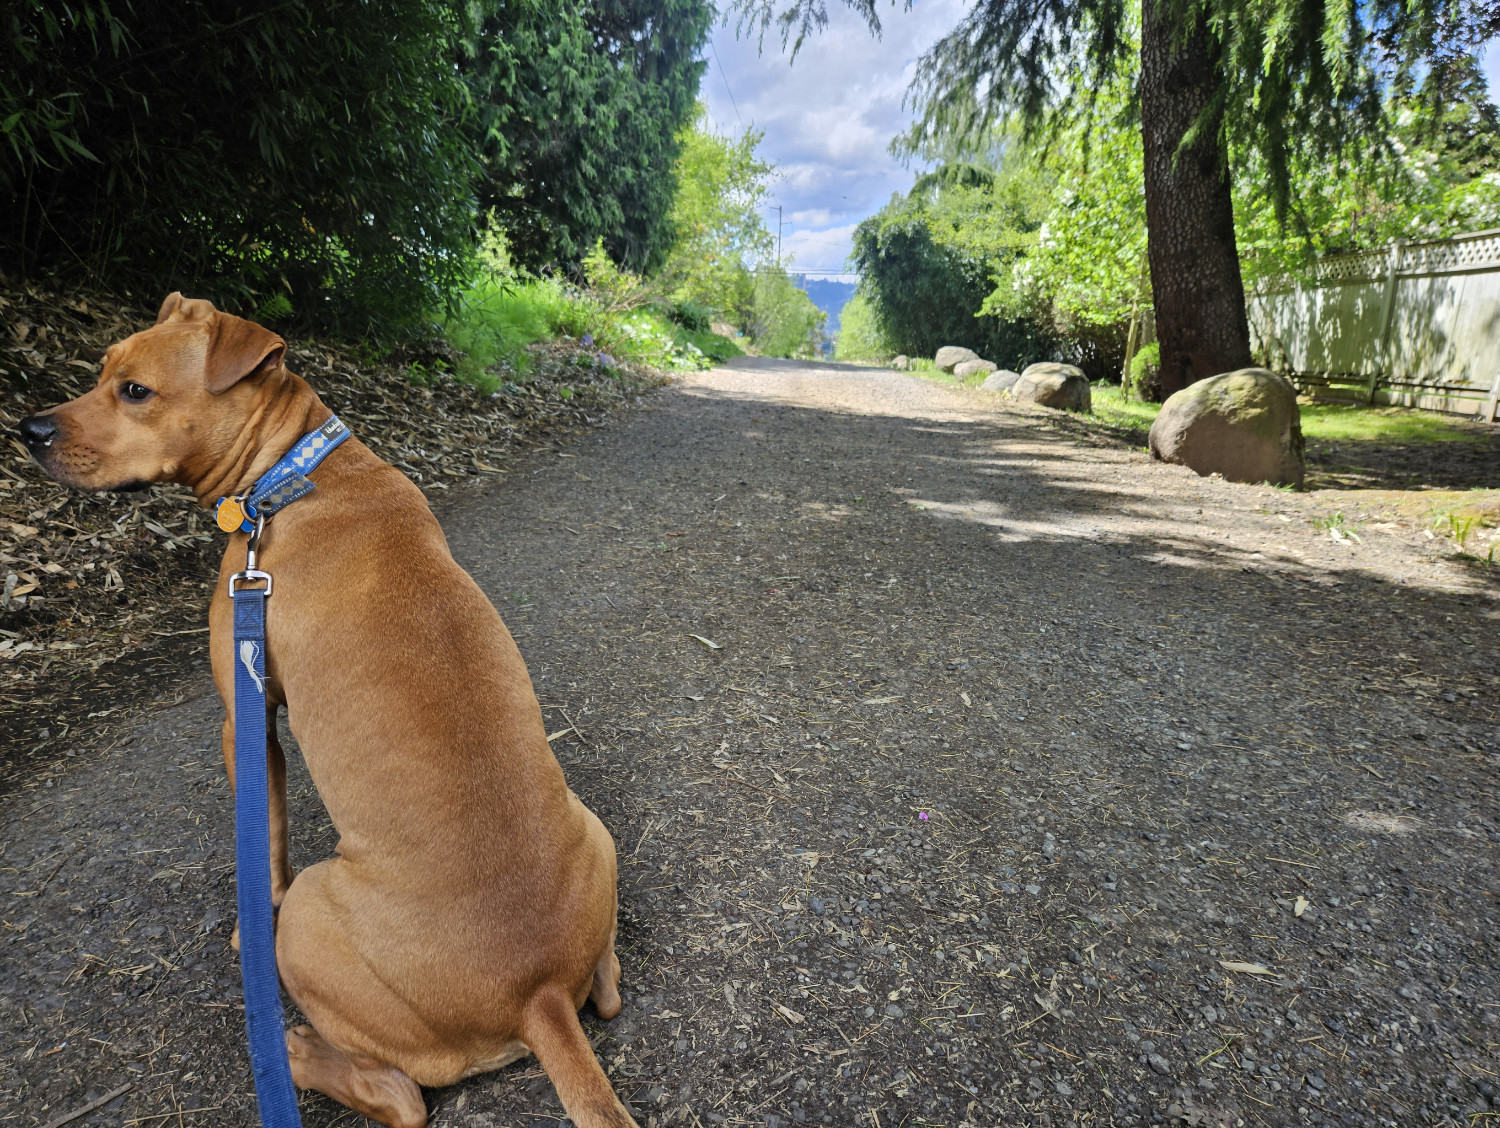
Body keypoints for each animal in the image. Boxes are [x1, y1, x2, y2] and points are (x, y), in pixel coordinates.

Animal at [19, 292, 639, 1128]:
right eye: (101, 370)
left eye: (136, 390)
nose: (29, 431)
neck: (294, 472)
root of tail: (537, 995)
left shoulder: (247, 717)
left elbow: (268, 838)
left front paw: (249, 917)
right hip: (593, 839)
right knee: (605, 996)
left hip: (313, 917)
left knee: (401, 1095)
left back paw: (295, 1053)